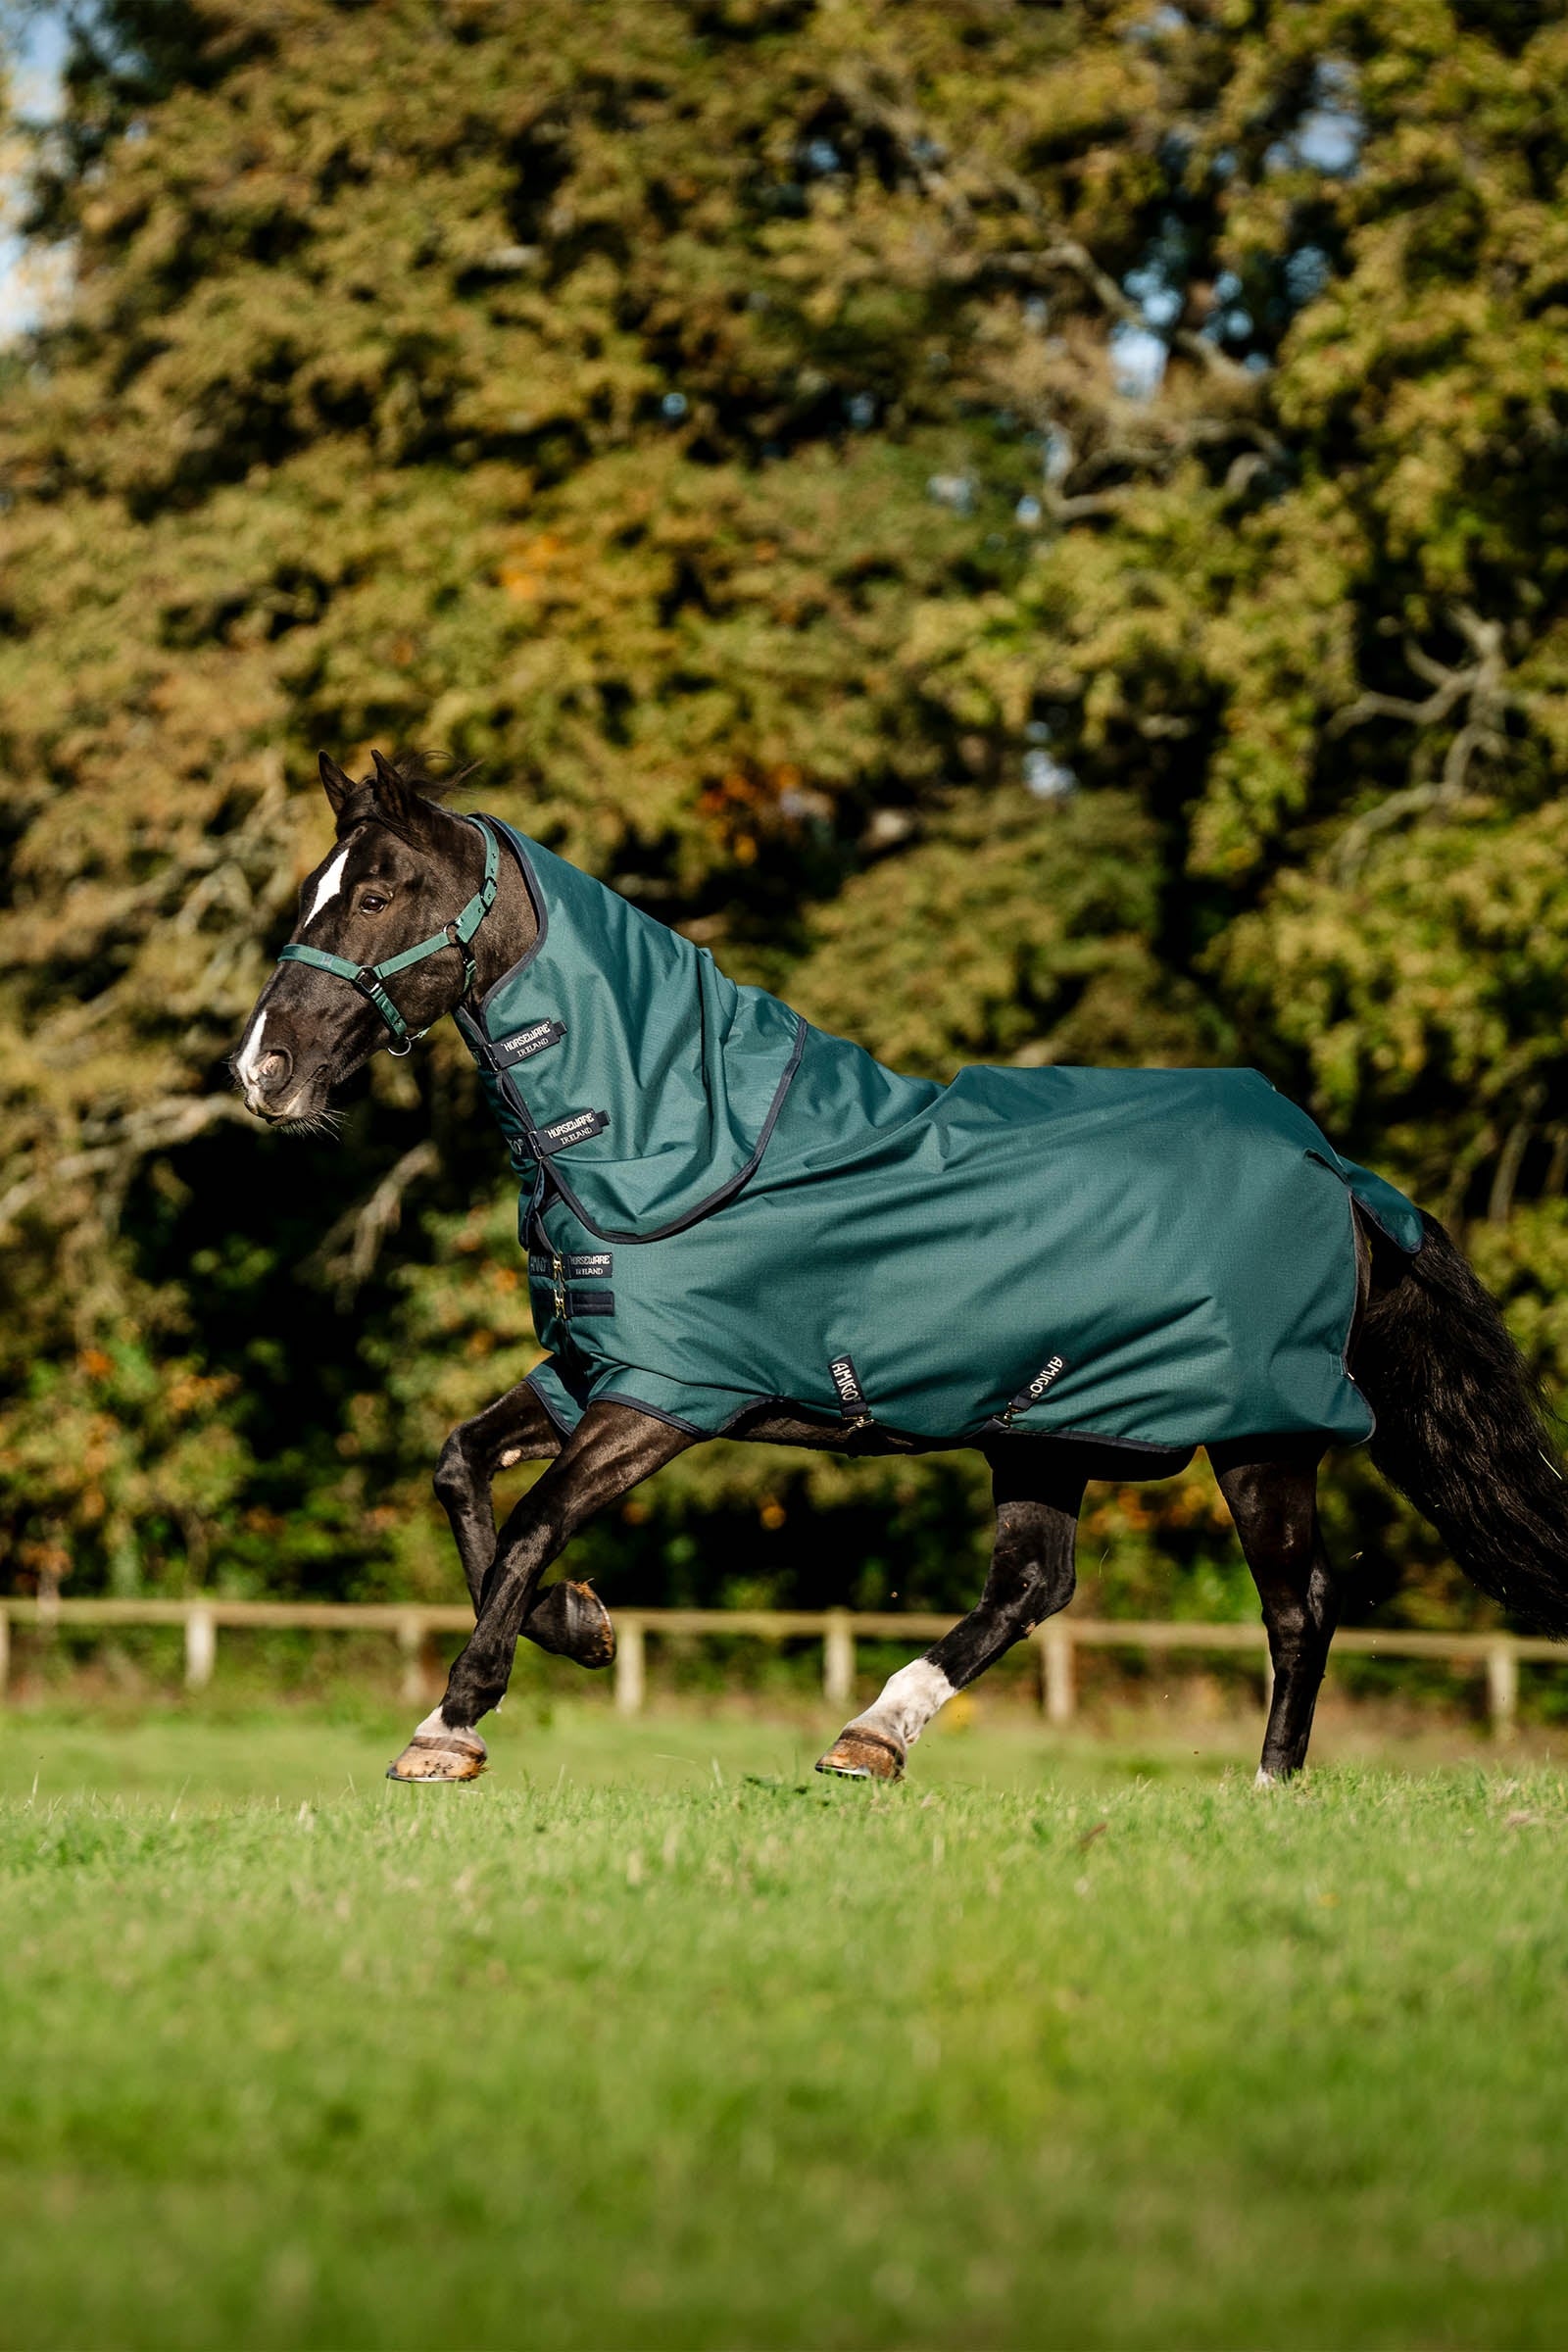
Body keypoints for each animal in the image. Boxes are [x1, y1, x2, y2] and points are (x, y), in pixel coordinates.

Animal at [233, 751, 1568, 1786]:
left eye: (377, 892)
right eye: (316, 890)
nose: (262, 1069)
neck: (675, 1132)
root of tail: (1333, 1169)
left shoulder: (667, 1397)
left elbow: (527, 1526)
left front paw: (449, 1724)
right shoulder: (589, 1367)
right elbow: (460, 1472)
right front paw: (582, 1631)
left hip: (1259, 1434)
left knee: (1299, 1604)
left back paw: (1265, 1790)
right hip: (1050, 1426)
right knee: (1035, 1586)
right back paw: (873, 1735)